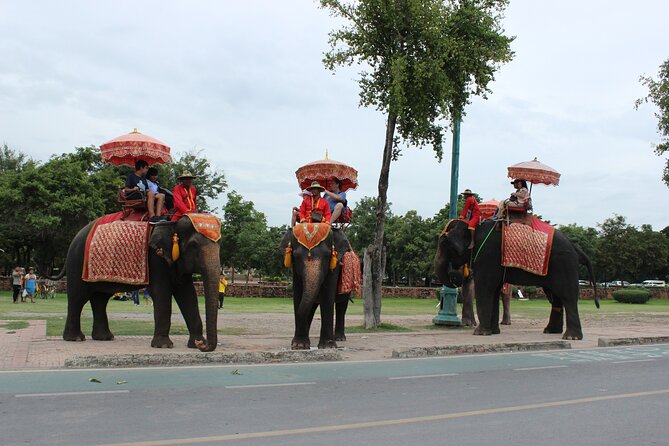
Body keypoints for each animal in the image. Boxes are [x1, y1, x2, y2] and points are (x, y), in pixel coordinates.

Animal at [54, 215, 220, 352]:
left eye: (220, 246)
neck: (173, 223)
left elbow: (188, 295)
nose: (203, 345)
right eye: (194, 245)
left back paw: (104, 337)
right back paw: (75, 338)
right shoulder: (155, 258)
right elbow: (161, 293)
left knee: (100, 299)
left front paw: (195, 344)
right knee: (78, 297)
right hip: (76, 262)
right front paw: (163, 346)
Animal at [436, 218, 596, 340]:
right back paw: (551, 331)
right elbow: (494, 291)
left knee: (567, 296)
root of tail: (576, 248)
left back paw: (571, 337)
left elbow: (485, 288)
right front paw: (493, 332)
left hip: (564, 264)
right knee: (556, 297)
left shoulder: (487, 256)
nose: (454, 274)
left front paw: (480, 334)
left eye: (443, 244)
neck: (472, 224)